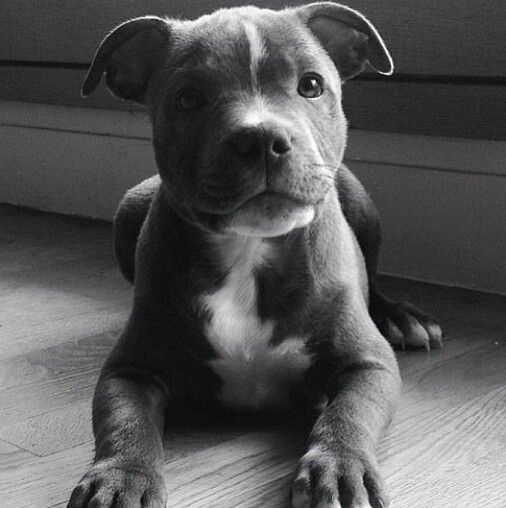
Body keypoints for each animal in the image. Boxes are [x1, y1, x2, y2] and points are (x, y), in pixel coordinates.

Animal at [68, 1, 442, 506]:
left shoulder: (367, 363)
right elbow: (124, 422)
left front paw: (340, 466)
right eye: (188, 99)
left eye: (311, 85)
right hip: (129, 205)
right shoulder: (130, 369)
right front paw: (120, 478)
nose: (261, 137)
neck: (248, 249)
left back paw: (403, 317)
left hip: (360, 200)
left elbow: (350, 413)